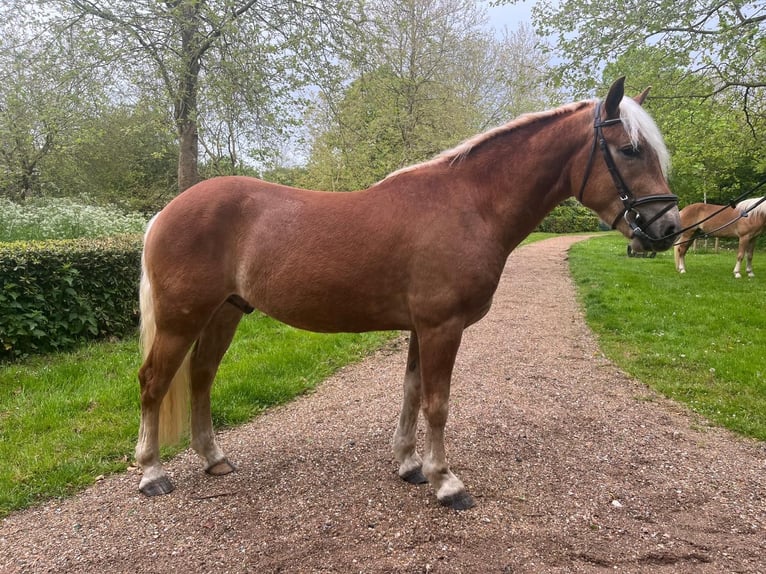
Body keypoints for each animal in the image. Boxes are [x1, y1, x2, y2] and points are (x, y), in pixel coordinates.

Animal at [135, 75, 680, 508]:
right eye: (630, 149)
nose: (667, 227)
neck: (470, 204)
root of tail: (166, 212)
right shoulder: (443, 326)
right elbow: (437, 403)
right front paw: (446, 482)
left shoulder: (422, 327)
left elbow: (412, 393)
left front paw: (410, 465)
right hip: (182, 318)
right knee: (154, 382)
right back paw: (152, 474)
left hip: (224, 313)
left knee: (201, 378)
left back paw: (214, 458)